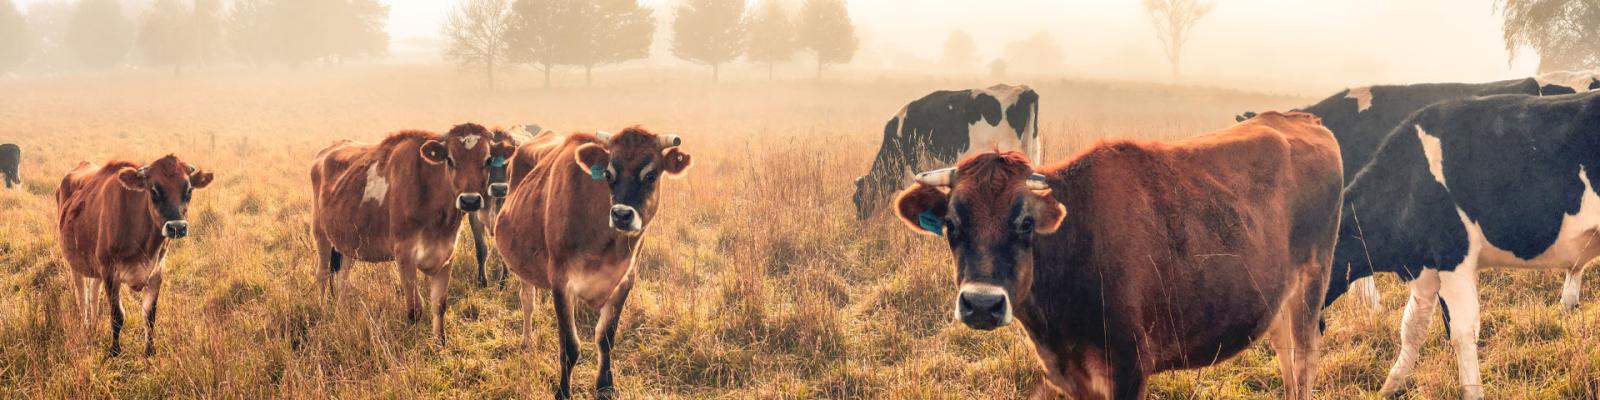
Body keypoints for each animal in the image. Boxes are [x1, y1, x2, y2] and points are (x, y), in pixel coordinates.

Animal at [56, 155, 215, 356]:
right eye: (154, 190)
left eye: (188, 190)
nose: (177, 227)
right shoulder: (110, 273)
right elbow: (117, 315)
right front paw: (115, 351)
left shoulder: (156, 272)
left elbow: (149, 315)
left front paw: (150, 351)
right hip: (75, 263)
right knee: (82, 298)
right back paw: (86, 328)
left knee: (93, 293)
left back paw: (93, 327)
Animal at [309, 123, 495, 345]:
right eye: (450, 160)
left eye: (488, 160)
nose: (470, 200)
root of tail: (328, 149)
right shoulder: (404, 254)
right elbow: (415, 308)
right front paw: (414, 345)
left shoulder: (447, 254)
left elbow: (439, 304)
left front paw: (440, 343)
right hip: (320, 233)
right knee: (322, 274)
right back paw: (322, 310)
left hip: (348, 242)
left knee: (342, 280)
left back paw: (342, 314)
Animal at [494, 126, 692, 399]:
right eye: (608, 174)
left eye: (651, 175)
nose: (621, 214)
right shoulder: (561, 281)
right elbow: (570, 345)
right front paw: (563, 391)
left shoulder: (625, 281)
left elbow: (606, 338)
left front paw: (605, 387)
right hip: (522, 263)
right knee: (527, 301)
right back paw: (526, 341)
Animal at [891, 111, 1343, 399]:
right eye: (951, 224)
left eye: (1026, 223)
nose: (982, 305)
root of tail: (1299, 118)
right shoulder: (1072, 374)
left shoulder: (1128, 367)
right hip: (1277, 301)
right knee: (1286, 361)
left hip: (1311, 286)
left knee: (1304, 364)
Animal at [1327, 91, 1600, 399]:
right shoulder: (1423, 269)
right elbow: (1412, 327)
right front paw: (1392, 384)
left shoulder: (1453, 257)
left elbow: (1461, 332)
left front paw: (1471, 391)